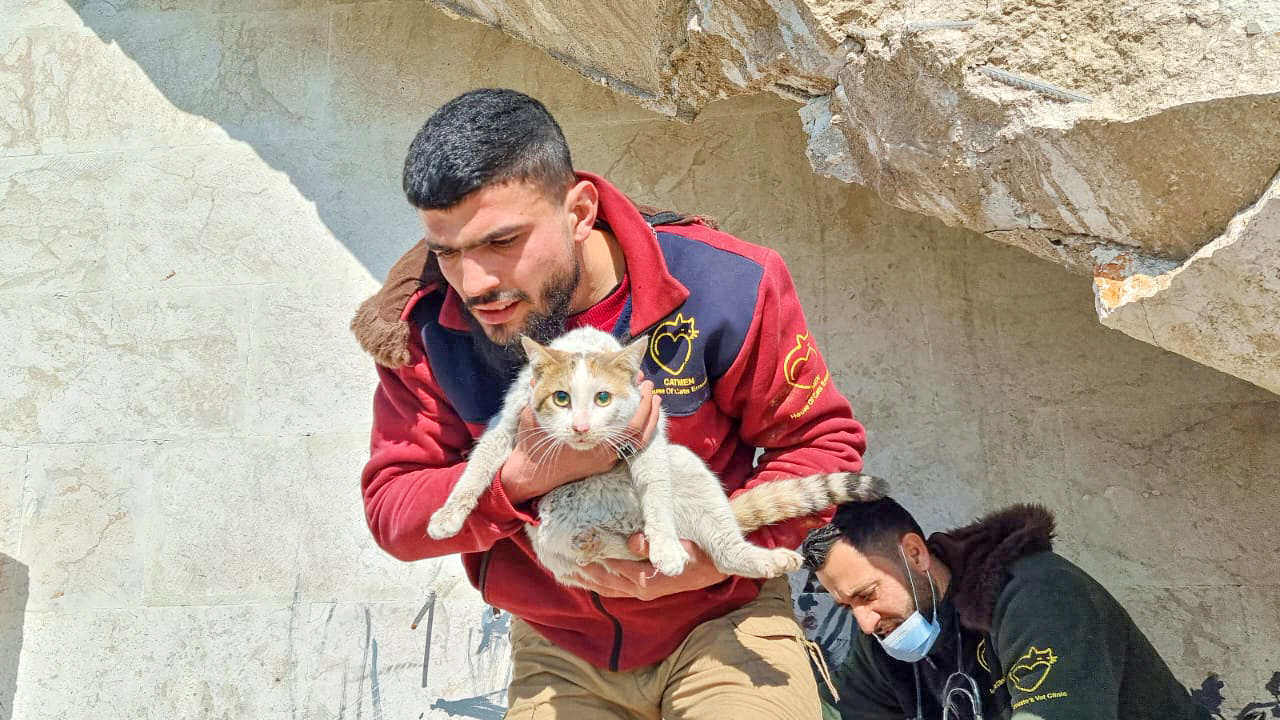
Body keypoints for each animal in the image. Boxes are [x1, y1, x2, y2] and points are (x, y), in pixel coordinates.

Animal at [424, 325, 885, 589]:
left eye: (603, 398)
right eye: (561, 398)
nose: (581, 428)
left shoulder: (649, 438)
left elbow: (656, 494)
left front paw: (665, 547)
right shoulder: (507, 426)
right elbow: (477, 469)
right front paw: (447, 516)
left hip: (688, 470)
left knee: (723, 551)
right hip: (548, 535)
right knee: (594, 550)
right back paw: (594, 541)